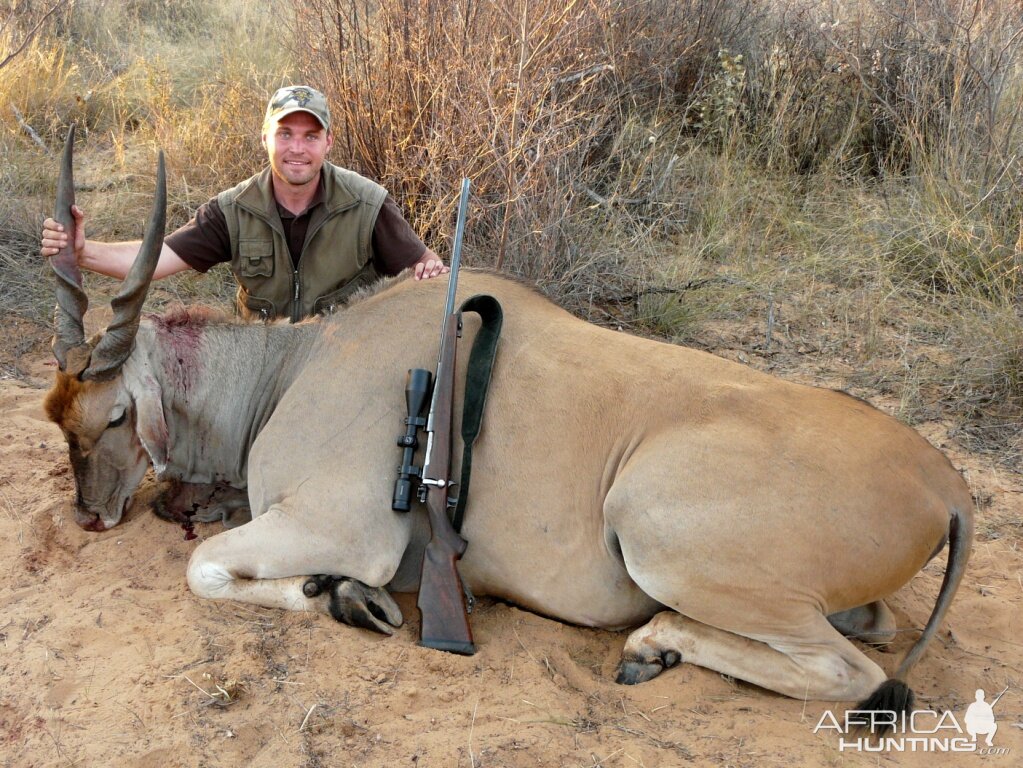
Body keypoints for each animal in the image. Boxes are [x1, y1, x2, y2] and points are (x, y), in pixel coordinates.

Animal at [43, 138, 969, 715]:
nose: (89, 516)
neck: (291, 366)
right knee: (874, 629)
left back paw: (653, 643)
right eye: (57, 418)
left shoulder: (341, 528)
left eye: (116, 413)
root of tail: (947, 486)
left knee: (851, 671)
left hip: (654, 528)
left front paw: (339, 596)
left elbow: (205, 568)